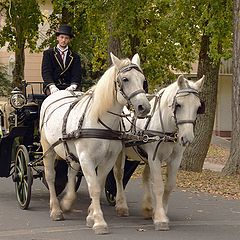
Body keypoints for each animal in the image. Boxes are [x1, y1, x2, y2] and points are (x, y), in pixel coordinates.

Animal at [39, 53, 150, 234]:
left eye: (143, 80)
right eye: (125, 79)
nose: (144, 107)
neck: (100, 121)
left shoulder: (108, 159)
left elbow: (98, 183)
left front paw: (91, 216)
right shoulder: (86, 158)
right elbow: (94, 187)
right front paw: (99, 222)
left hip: (72, 153)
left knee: (71, 173)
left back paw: (67, 202)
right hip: (48, 148)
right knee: (50, 176)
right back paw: (56, 210)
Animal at [113, 75, 204, 231]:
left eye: (198, 107)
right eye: (178, 105)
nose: (187, 138)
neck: (167, 129)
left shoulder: (175, 159)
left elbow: (169, 186)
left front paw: (161, 212)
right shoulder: (155, 159)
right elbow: (159, 186)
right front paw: (160, 219)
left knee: (144, 176)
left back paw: (148, 208)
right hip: (121, 152)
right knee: (119, 175)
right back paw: (121, 205)